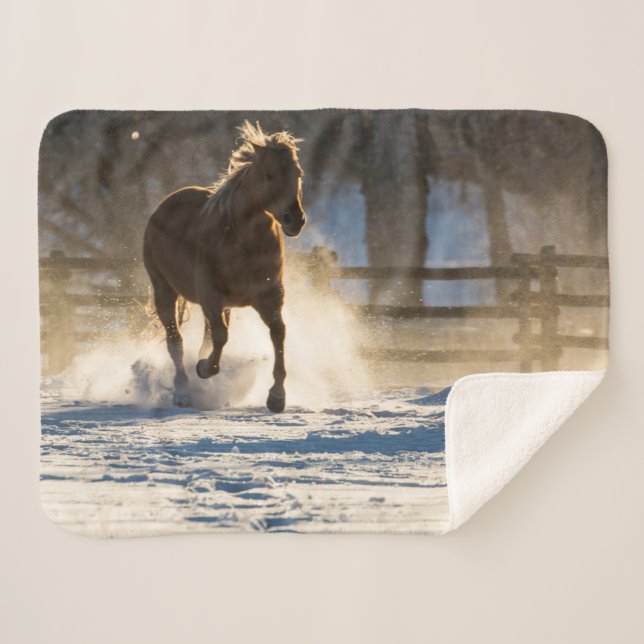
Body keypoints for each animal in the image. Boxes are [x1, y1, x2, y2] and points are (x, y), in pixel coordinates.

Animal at [142, 121, 306, 412]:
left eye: (298, 173)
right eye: (268, 175)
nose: (294, 220)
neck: (244, 244)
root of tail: (162, 207)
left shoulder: (269, 296)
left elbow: (278, 333)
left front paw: (277, 397)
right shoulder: (211, 295)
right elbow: (221, 337)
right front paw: (204, 368)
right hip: (163, 291)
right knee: (175, 342)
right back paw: (183, 392)